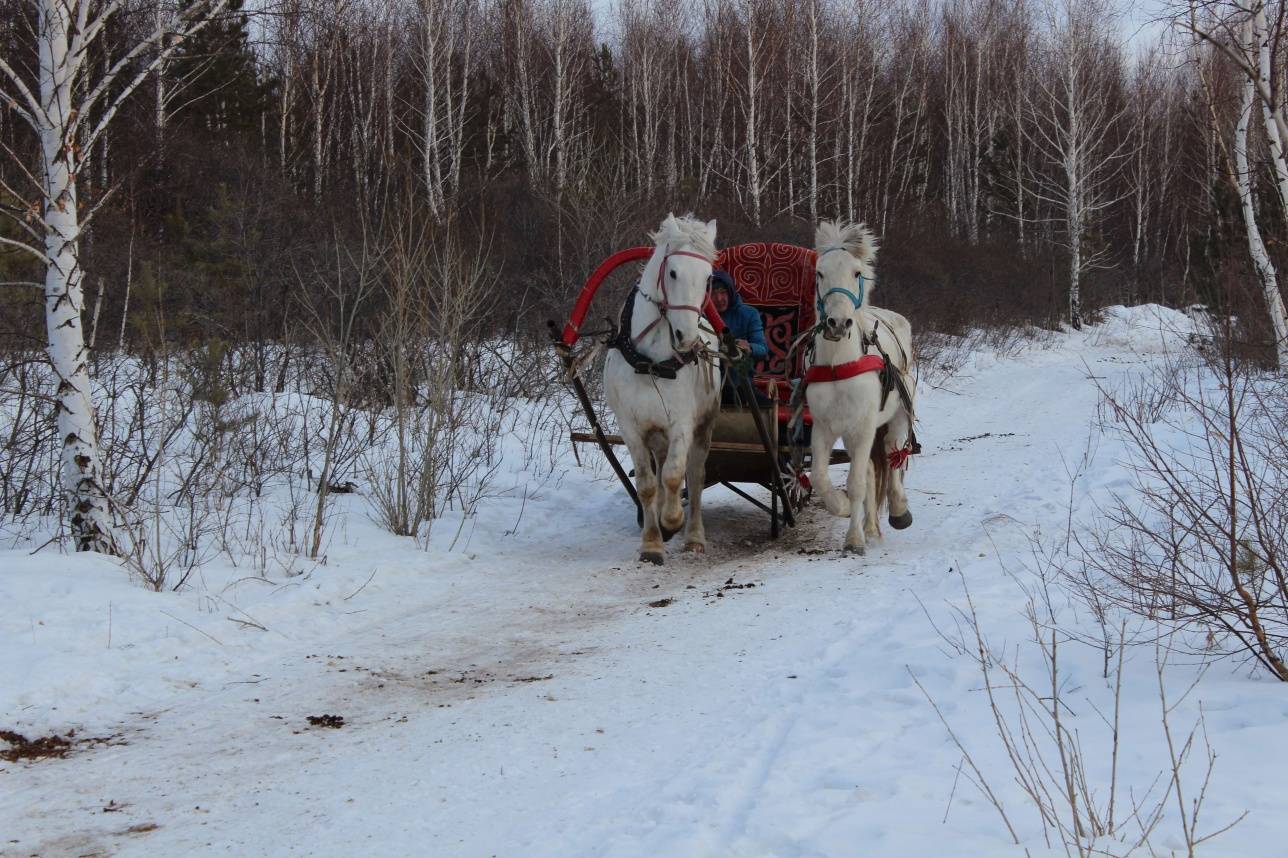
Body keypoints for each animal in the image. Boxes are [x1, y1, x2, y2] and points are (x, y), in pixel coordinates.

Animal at [605, 211, 726, 564]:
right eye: (673, 272)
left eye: (708, 278)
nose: (686, 337)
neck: (651, 363)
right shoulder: (631, 426)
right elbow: (647, 484)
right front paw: (652, 542)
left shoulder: (682, 423)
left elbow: (675, 474)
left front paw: (672, 521)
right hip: (655, 432)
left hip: (704, 425)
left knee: (695, 476)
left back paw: (694, 535)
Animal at [803, 219, 917, 553]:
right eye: (820, 273)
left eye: (856, 273)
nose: (838, 324)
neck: (839, 365)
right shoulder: (823, 427)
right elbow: (820, 477)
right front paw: (841, 507)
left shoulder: (865, 424)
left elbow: (856, 483)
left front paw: (853, 539)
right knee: (868, 469)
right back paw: (870, 525)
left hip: (897, 413)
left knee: (893, 452)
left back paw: (898, 510)